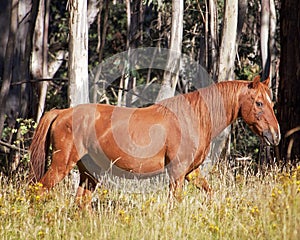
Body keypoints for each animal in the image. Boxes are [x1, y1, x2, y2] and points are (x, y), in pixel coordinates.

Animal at [29, 76, 280, 207]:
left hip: (88, 173)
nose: (275, 135)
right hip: (61, 165)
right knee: (39, 191)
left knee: (81, 203)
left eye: (271, 102)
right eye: (259, 103)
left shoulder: (191, 173)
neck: (193, 117)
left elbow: (209, 192)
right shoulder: (177, 173)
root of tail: (62, 112)